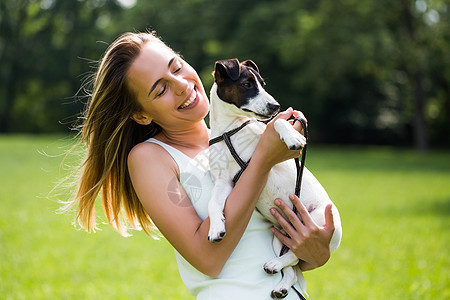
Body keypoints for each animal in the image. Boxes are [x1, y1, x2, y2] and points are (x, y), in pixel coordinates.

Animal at [207, 58, 342, 298]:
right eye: (247, 84)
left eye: (263, 83)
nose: (276, 106)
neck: (229, 130)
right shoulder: (224, 183)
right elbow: (213, 204)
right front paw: (215, 227)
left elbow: (277, 123)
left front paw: (293, 136)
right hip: (280, 238)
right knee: (293, 265)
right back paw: (280, 281)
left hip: (315, 221)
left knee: (296, 255)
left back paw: (275, 266)